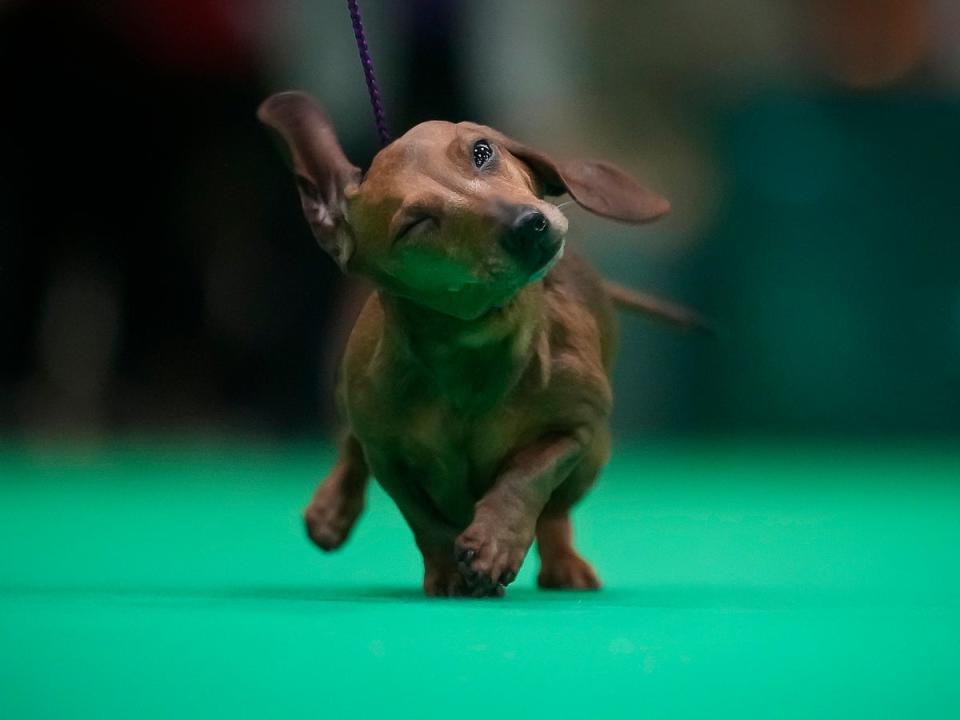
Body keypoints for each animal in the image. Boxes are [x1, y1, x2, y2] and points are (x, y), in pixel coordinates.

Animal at [258, 91, 700, 596]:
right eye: (416, 223)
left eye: (482, 151)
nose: (529, 224)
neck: (470, 354)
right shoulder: (389, 460)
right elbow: (424, 520)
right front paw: (449, 572)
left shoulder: (575, 430)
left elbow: (527, 476)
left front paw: (495, 543)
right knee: (351, 441)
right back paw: (332, 510)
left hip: (593, 459)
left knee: (556, 513)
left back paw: (564, 563)